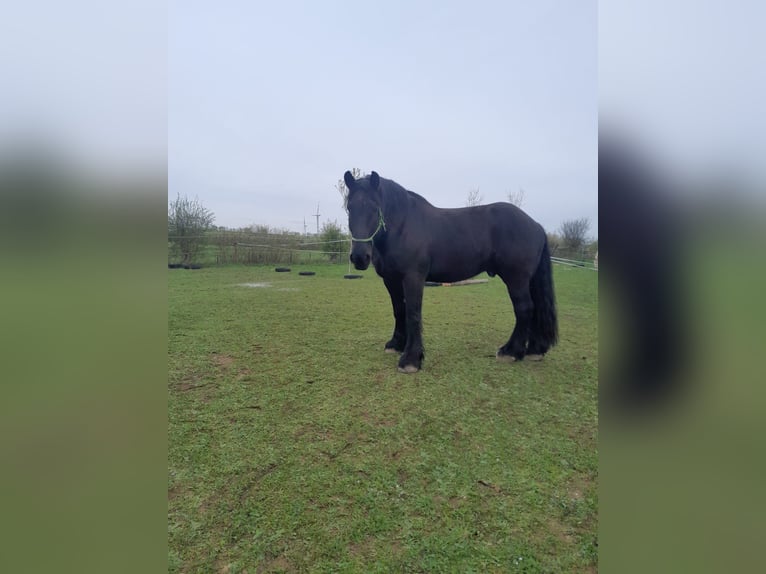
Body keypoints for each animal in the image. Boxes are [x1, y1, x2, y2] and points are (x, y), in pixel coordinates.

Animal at [344, 170, 558, 373]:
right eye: (349, 208)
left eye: (375, 207)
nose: (359, 257)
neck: (403, 226)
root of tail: (536, 225)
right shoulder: (391, 280)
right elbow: (399, 310)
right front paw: (396, 344)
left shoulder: (413, 278)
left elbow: (413, 313)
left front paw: (411, 359)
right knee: (535, 309)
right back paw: (534, 350)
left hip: (516, 279)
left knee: (524, 309)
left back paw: (511, 351)